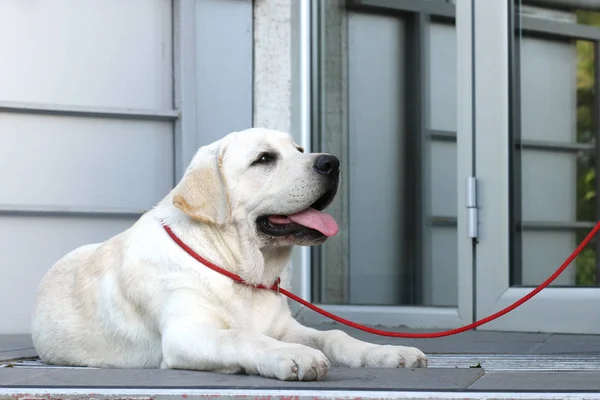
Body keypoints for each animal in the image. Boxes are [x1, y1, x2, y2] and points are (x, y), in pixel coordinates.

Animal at [31, 128, 426, 382]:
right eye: (264, 159)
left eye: (299, 149)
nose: (332, 162)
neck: (237, 270)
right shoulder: (186, 334)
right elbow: (241, 337)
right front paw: (293, 355)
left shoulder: (285, 327)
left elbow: (335, 336)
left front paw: (388, 352)